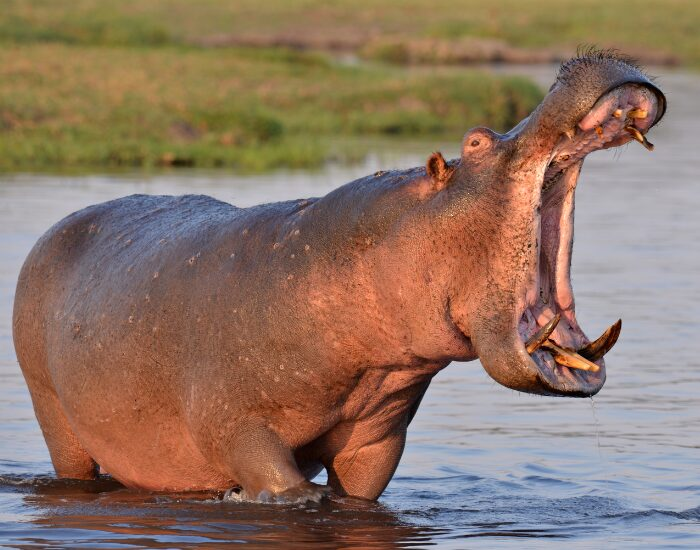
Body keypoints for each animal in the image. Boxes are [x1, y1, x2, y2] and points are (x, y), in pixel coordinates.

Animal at [13, 51, 665, 502]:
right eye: (477, 140)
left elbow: (357, 489)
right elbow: (287, 486)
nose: (579, 62)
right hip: (55, 416)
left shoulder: (377, 441)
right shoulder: (237, 426)